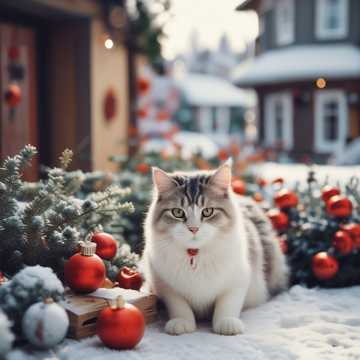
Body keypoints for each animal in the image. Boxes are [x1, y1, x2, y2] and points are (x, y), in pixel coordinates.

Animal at [142, 162, 288, 336]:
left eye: (207, 211)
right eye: (177, 212)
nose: (193, 229)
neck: (196, 254)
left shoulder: (238, 280)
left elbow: (227, 305)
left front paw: (227, 324)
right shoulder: (165, 286)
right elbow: (180, 307)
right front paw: (182, 323)